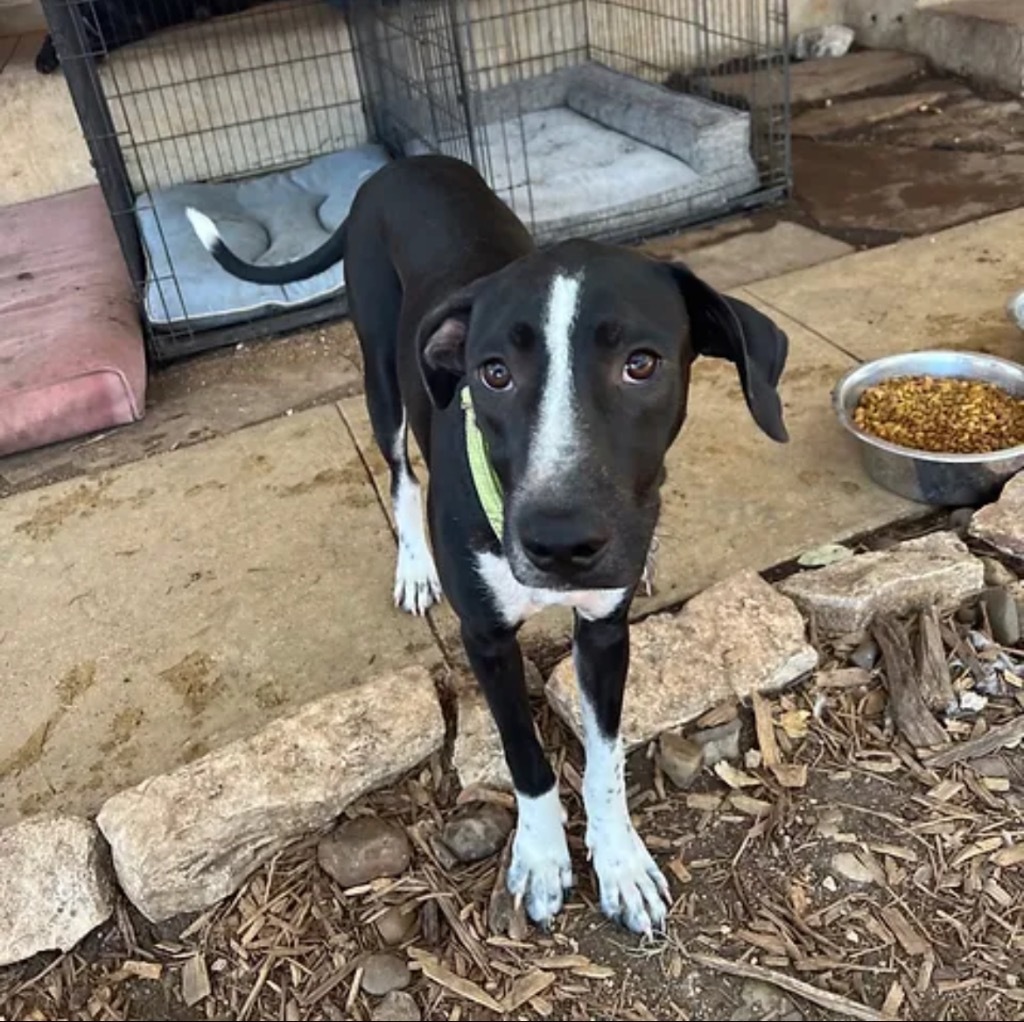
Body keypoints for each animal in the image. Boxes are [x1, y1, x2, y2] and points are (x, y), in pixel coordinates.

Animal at [188, 153, 786, 938]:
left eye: (642, 363)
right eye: (494, 373)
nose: (560, 543)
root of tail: (398, 166)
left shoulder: (605, 631)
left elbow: (605, 759)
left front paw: (620, 862)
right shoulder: (487, 640)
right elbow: (525, 756)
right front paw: (541, 857)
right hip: (383, 377)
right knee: (400, 472)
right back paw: (415, 567)